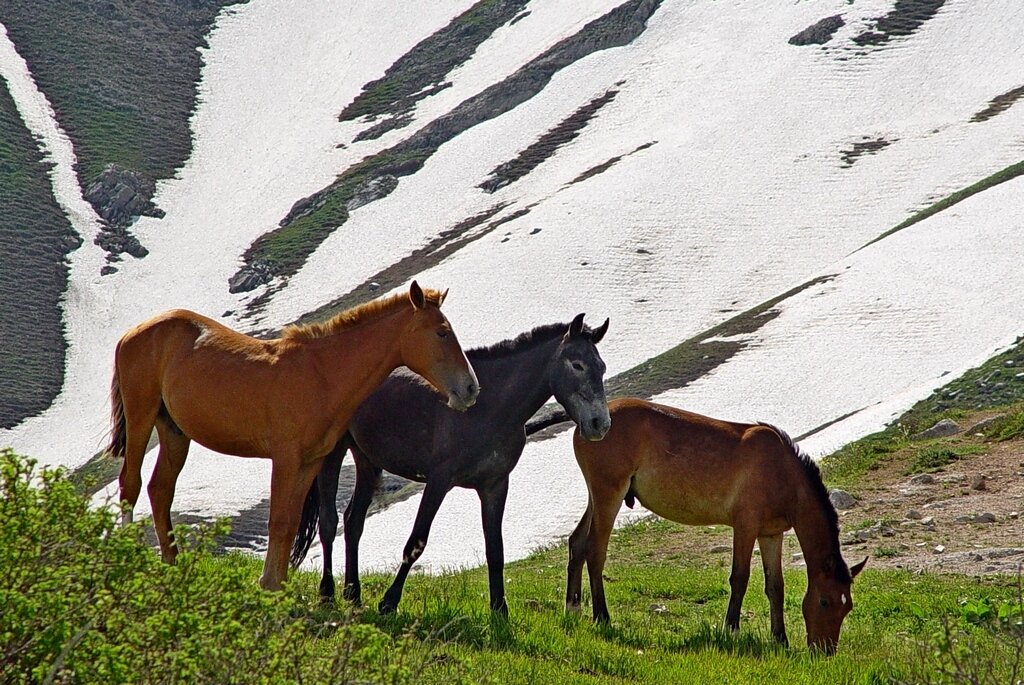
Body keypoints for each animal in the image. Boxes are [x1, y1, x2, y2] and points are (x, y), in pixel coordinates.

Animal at [103, 280, 479, 589]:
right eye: (442, 332)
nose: (471, 389)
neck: (323, 374)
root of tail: (132, 333)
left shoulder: (310, 462)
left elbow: (293, 521)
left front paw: (279, 585)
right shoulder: (285, 459)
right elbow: (280, 521)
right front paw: (269, 583)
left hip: (174, 431)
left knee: (160, 489)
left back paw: (173, 564)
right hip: (141, 416)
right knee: (131, 484)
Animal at [288, 313, 606, 610]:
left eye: (601, 367)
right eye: (577, 364)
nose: (599, 424)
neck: (486, 409)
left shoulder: (494, 486)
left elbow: (495, 550)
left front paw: (499, 611)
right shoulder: (439, 481)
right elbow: (416, 542)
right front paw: (389, 602)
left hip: (367, 460)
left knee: (353, 522)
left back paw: (353, 594)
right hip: (334, 453)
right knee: (329, 523)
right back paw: (327, 594)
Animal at [569, 397, 864, 655]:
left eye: (847, 607)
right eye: (824, 601)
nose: (825, 651)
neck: (783, 473)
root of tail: (586, 425)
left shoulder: (771, 533)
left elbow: (775, 586)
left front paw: (780, 639)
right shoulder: (745, 526)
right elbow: (740, 578)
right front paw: (731, 630)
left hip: (597, 497)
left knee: (577, 542)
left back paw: (572, 608)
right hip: (609, 494)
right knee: (595, 551)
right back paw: (602, 617)